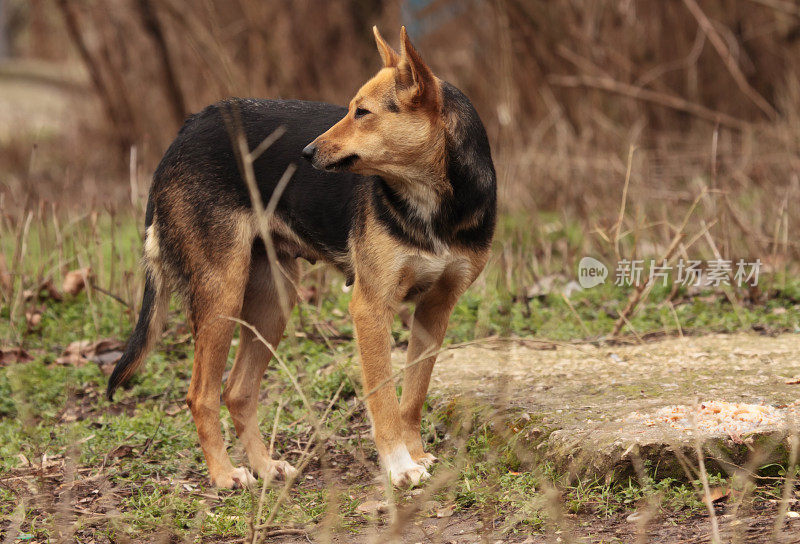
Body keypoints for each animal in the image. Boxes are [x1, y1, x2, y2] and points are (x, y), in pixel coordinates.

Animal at [106, 25, 494, 488]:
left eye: (362, 113)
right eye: (351, 109)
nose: (306, 153)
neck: (432, 200)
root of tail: (186, 130)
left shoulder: (436, 308)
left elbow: (413, 395)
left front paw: (416, 454)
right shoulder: (371, 308)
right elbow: (383, 399)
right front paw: (400, 466)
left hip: (274, 300)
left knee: (238, 391)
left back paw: (265, 466)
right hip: (223, 294)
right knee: (201, 394)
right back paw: (224, 474)